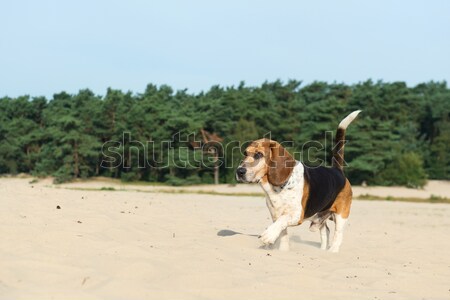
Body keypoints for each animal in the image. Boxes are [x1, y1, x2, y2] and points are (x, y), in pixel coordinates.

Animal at [236, 109, 362, 251]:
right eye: (245, 154)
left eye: (258, 155)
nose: (239, 171)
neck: (276, 189)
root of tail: (337, 171)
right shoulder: (275, 214)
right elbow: (283, 232)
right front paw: (283, 250)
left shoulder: (296, 214)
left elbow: (282, 221)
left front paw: (268, 235)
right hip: (320, 216)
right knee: (326, 231)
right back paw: (322, 251)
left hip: (341, 216)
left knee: (337, 236)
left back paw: (332, 251)